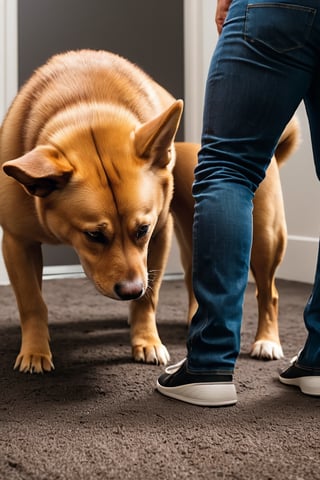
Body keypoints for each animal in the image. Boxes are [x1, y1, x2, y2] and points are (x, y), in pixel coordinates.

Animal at [0, 48, 300, 374]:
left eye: (142, 230)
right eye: (93, 235)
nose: (131, 290)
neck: (86, 108)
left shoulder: (159, 234)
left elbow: (150, 297)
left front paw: (146, 342)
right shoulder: (17, 242)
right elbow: (32, 302)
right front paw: (35, 351)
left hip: (264, 239)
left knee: (269, 293)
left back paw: (267, 341)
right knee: (195, 279)